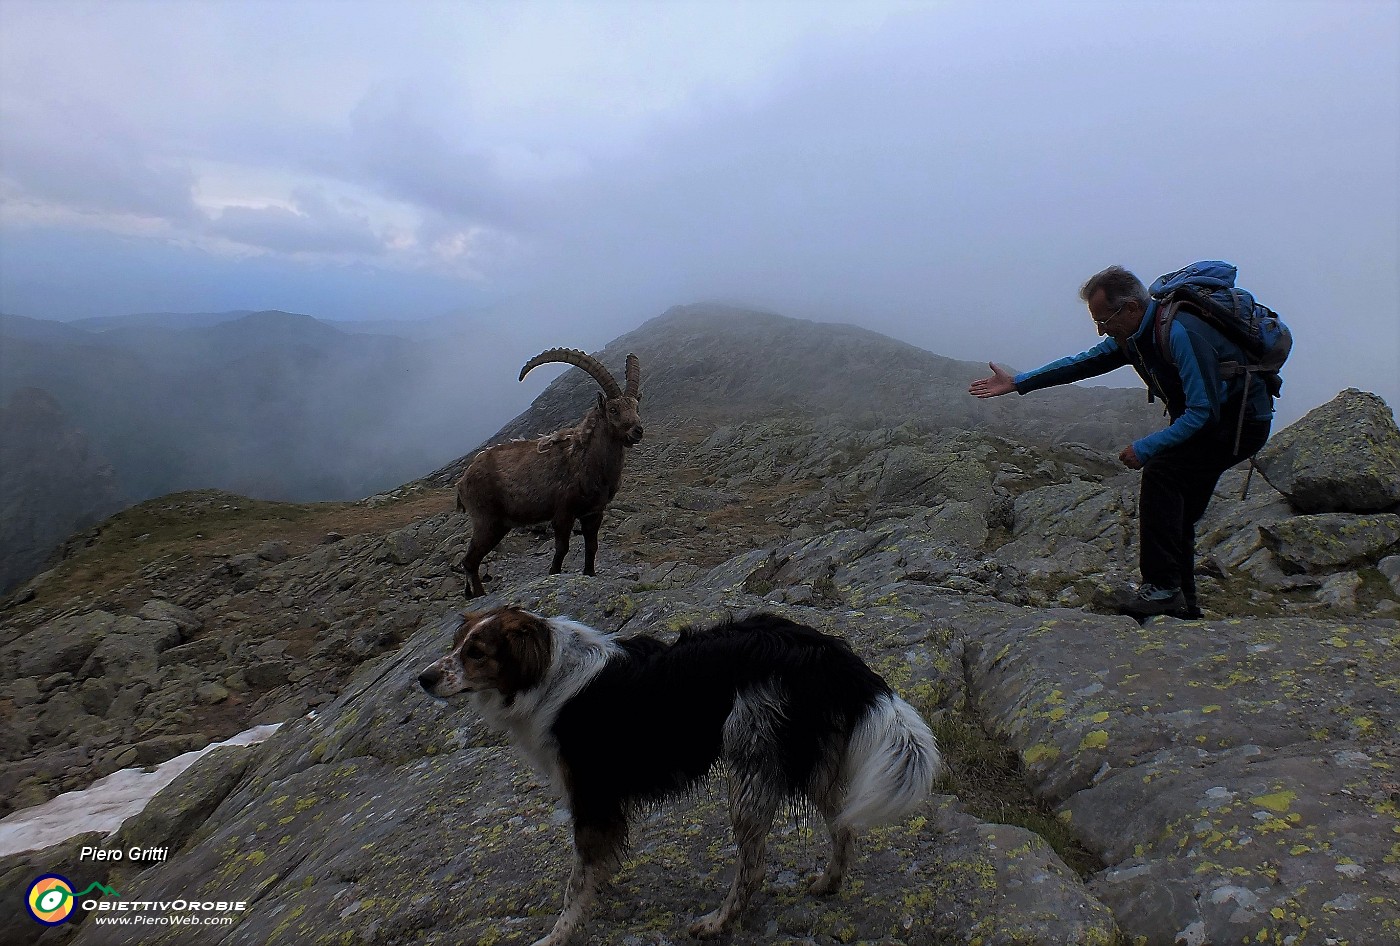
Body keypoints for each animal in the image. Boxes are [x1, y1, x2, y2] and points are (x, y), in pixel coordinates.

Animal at [414, 610, 940, 940]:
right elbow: (595, 865)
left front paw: (557, 935)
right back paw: (827, 884)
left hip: (749, 765)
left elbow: (576, 882)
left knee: (754, 867)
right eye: (457, 645)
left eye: (478, 652)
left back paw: (717, 923)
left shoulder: (591, 797)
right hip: (811, 766)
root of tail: (825, 651)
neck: (549, 674)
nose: (423, 678)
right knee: (844, 827)